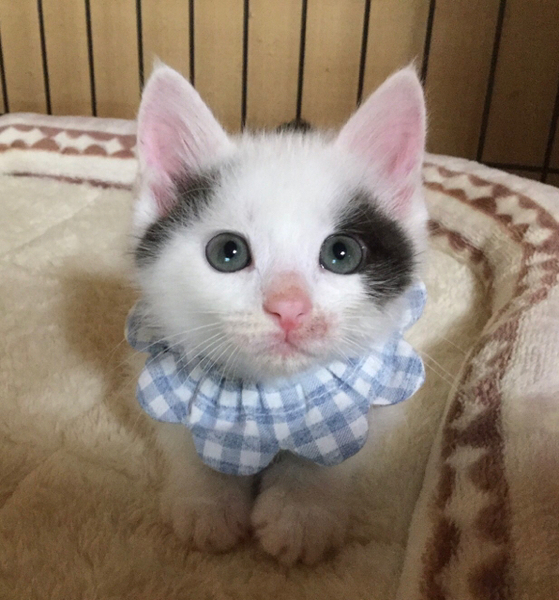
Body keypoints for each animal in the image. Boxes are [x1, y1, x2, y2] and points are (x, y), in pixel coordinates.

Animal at [130, 63, 427, 565]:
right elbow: (185, 440)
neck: (271, 399)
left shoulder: (370, 397)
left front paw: (303, 511)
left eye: (341, 253)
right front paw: (206, 502)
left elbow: (336, 446)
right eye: (227, 252)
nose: (289, 307)